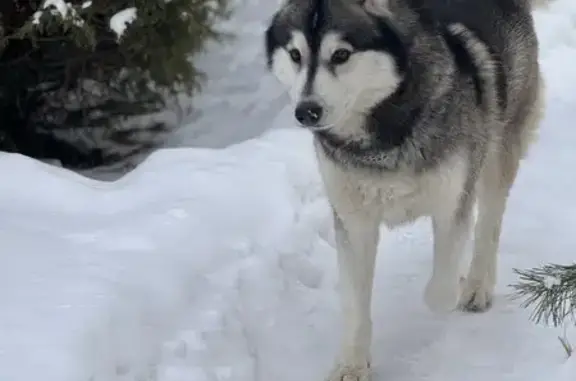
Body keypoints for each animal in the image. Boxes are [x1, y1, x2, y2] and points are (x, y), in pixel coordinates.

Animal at [266, 0, 548, 378]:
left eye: (341, 54)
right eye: (296, 54)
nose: (306, 111)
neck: (380, 139)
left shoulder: (452, 202)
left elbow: (440, 292)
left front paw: (456, 286)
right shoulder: (354, 222)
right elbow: (354, 304)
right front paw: (352, 363)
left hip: (499, 149)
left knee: (489, 223)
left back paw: (476, 286)